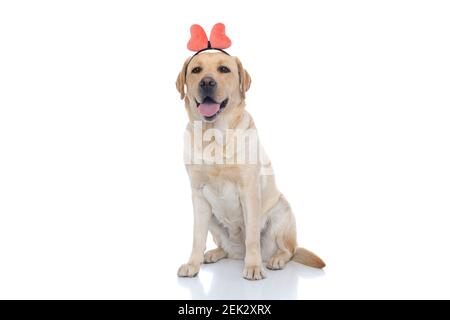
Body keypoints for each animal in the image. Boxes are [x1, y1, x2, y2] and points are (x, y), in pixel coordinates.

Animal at [174, 51, 326, 278]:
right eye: (196, 70)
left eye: (224, 69)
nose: (207, 82)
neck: (214, 137)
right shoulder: (198, 196)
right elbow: (197, 237)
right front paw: (193, 263)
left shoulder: (249, 191)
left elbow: (252, 237)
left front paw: (253, 267)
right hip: (213, 220)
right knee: (227, 249)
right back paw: (214, 253)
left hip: (281, 212)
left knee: (289, 250)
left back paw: (275, 259)